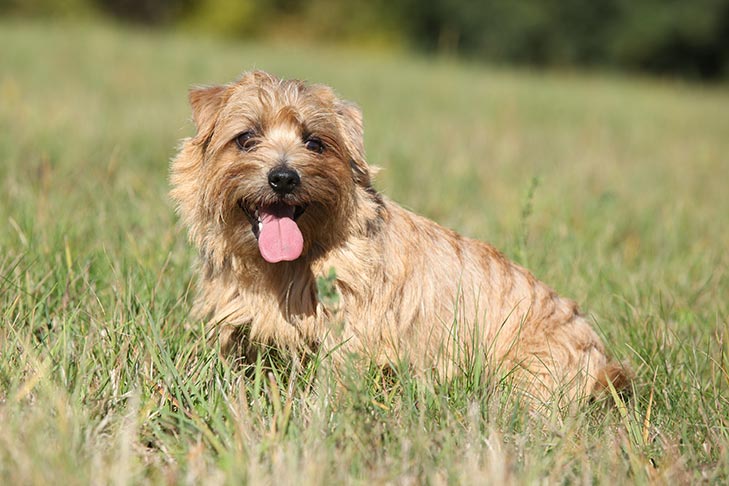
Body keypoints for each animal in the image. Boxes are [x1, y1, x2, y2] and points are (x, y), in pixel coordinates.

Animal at [168, 70, 628, 404]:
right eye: (246, 138)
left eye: (315, 143)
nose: (283, 177)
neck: (282, 268)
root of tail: (603, 363)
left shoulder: (351, 332)